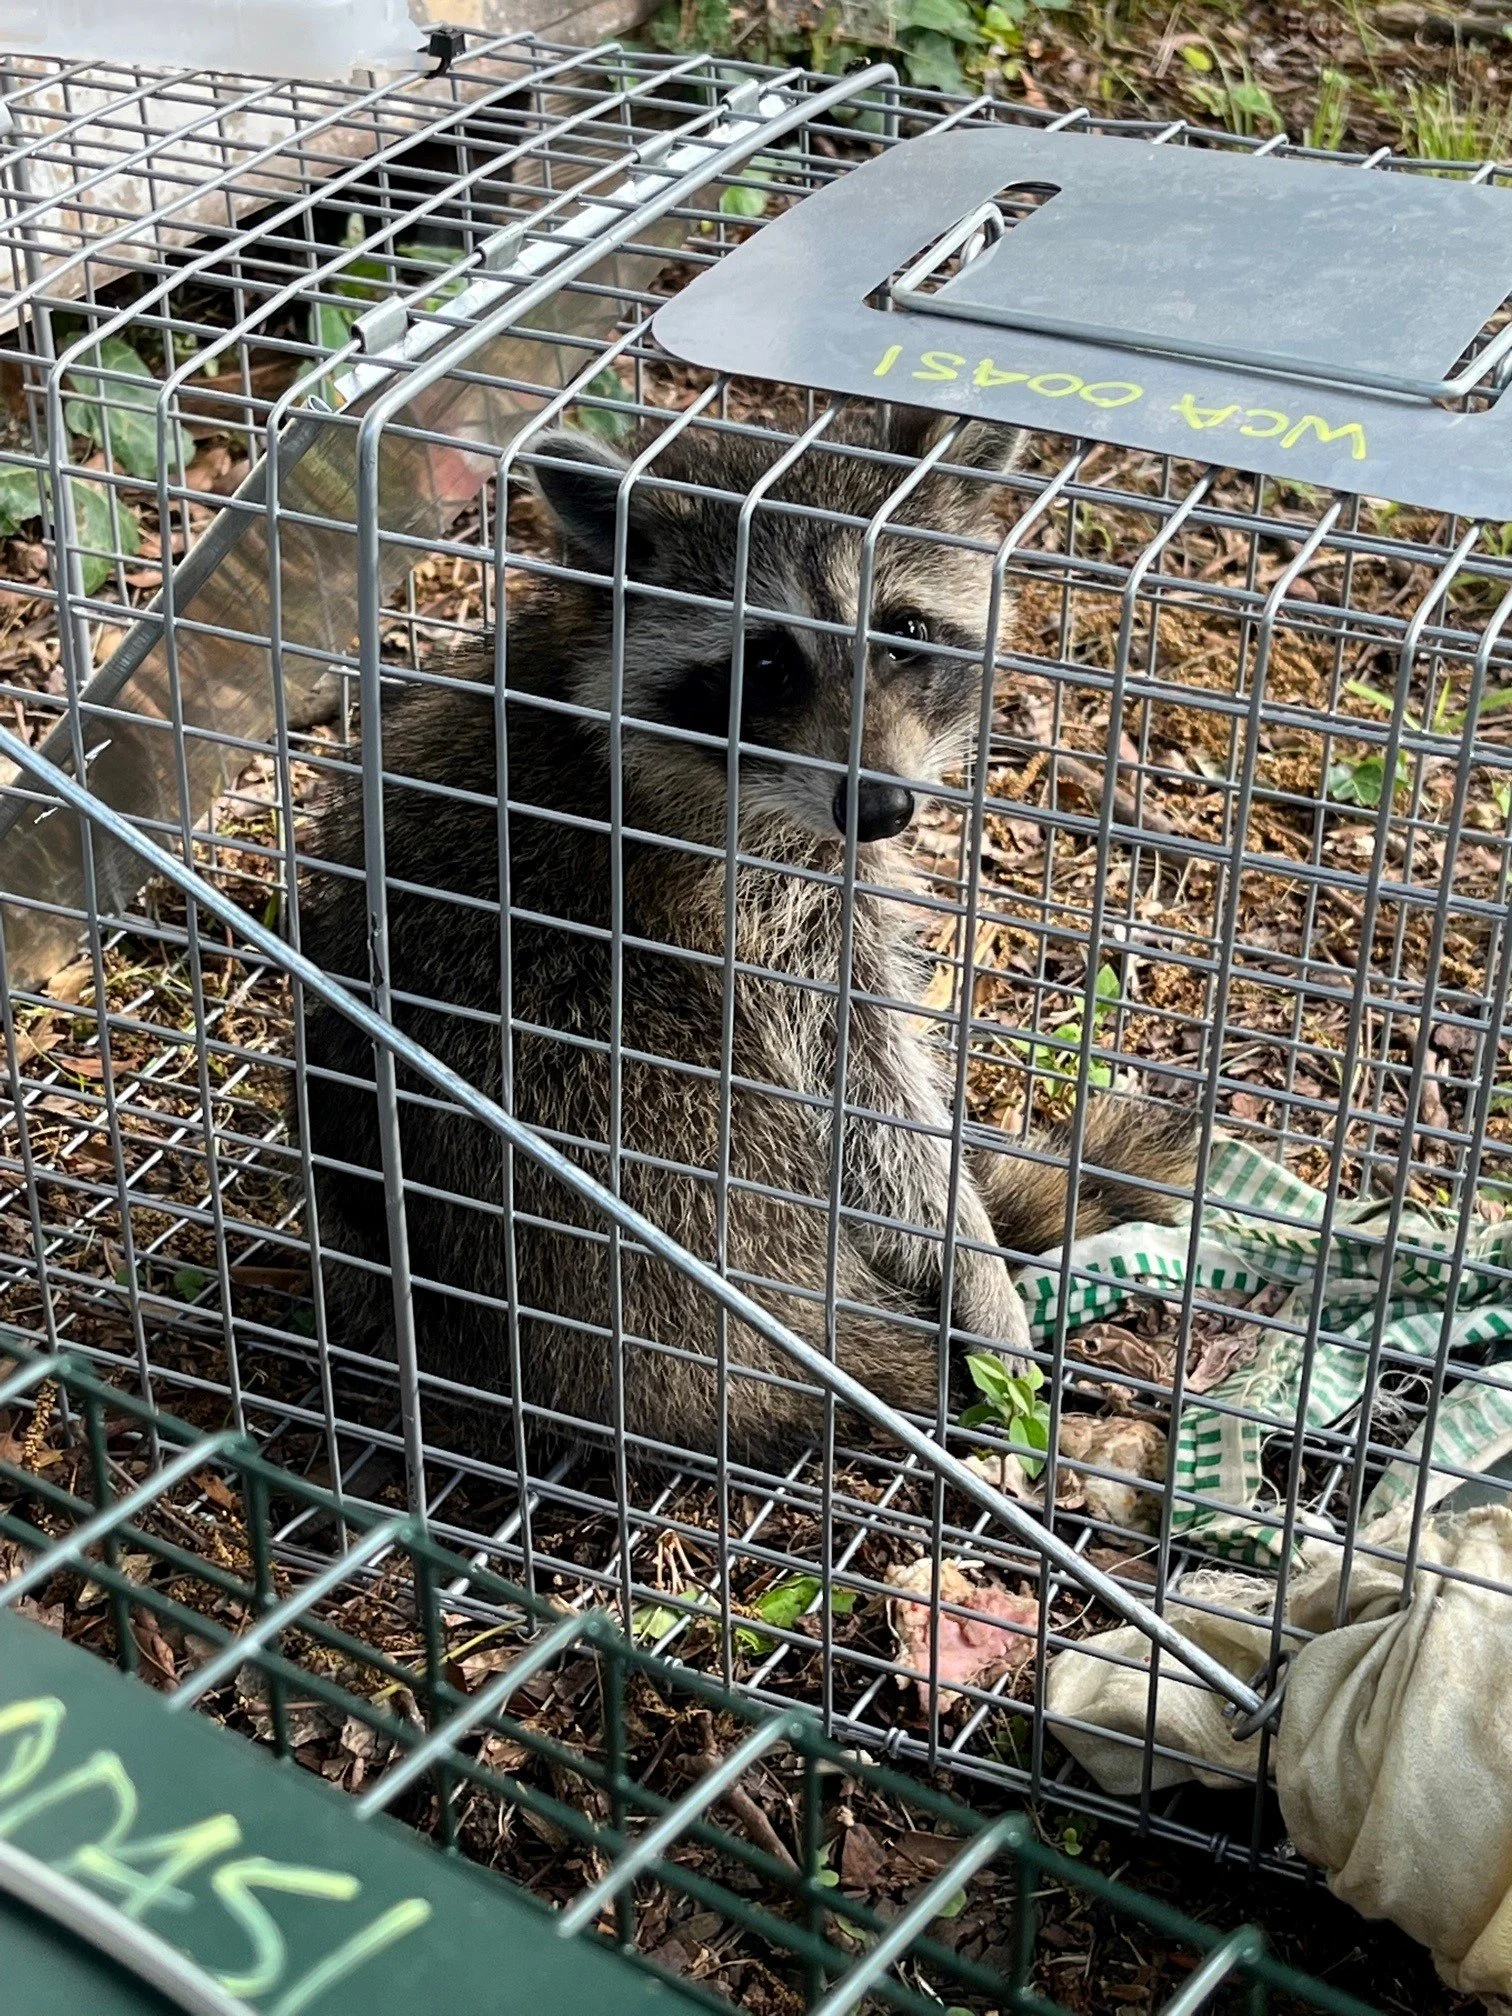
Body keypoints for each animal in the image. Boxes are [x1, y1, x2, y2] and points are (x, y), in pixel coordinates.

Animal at [295, 408, 1195, 1466]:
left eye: (904, 633)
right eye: (767, 663)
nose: (881, 811)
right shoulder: (742, 896)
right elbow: (861, 1096)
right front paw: (967, 1262)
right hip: (642, 1134)